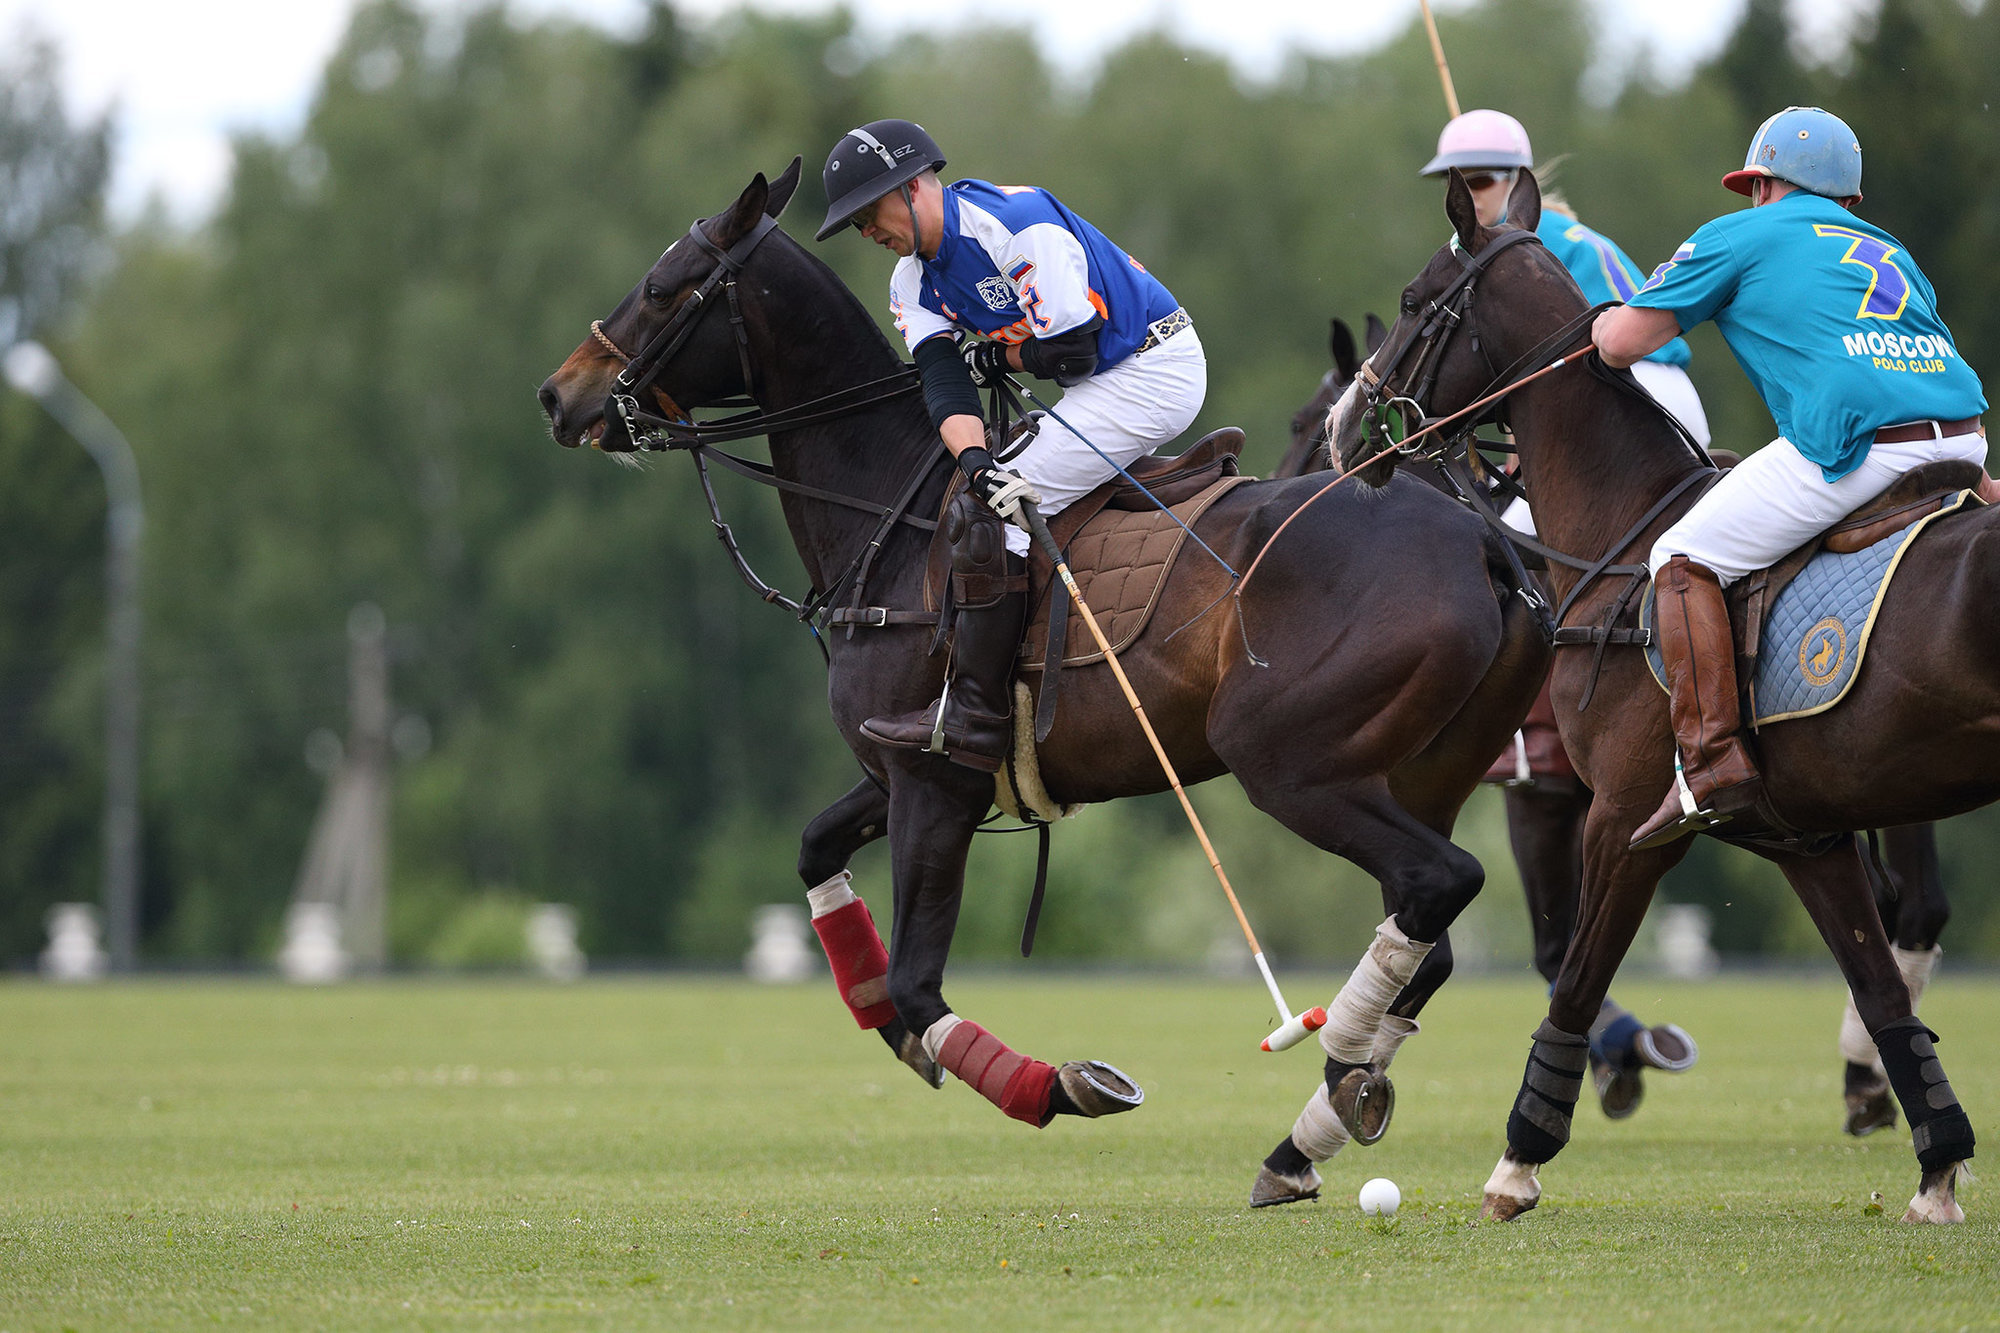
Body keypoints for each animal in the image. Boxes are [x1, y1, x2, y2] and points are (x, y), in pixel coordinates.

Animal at [536, 161, 1544, 1160]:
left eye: (662, 286)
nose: (558, 395)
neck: (889, 515)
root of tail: (1483, 544)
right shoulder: (910, 762)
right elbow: (820, 851)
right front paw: (883, 1019)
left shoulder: (934, 779)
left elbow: (920, 982)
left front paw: (1061, 1082)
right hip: (1415, 770)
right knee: (1432, 925)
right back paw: (1336, 1099)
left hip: (1287, 760)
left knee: (1439, 882)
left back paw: (1326, 1080)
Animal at [1344, 169, 1984, 1224]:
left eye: (1409, 300)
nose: (1344, 433)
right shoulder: (1806, 837)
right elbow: (1881, 988)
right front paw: (1936, 1171)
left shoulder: (1619, 815)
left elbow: (1571, 972)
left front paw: (1518, 1162)